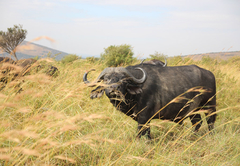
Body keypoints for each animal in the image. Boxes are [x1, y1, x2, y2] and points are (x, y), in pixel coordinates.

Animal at [83, 63, 217, 139]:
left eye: (124, 80)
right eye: (105, 79)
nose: (114, 89)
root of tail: (209, 73)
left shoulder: (144, 117)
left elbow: (141, 133)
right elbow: (146, 133)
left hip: (209, 105)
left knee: (210, 121)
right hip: (193, 110)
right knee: (197, 122)